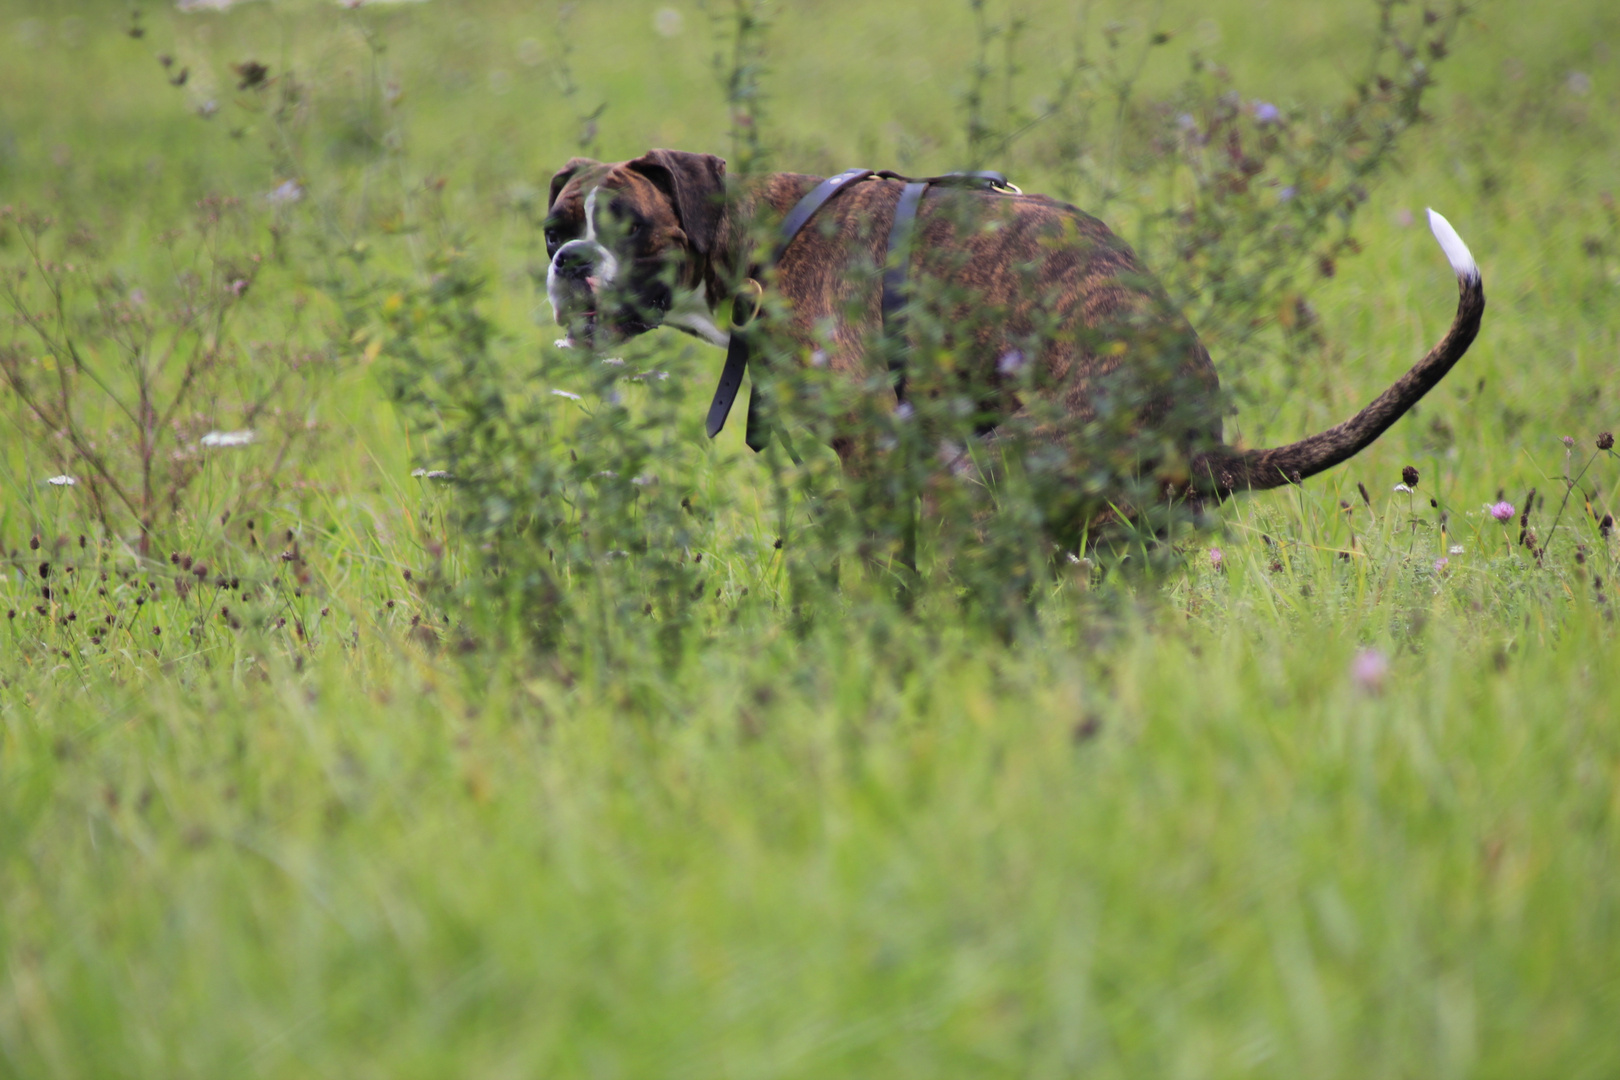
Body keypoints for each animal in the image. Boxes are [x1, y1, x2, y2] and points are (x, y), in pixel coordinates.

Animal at [541, 148, 1483, 537]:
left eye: (628, 227)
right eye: (552, 228)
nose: (570, 263)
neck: (760, 235)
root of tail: (1199, 442)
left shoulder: (877, 450)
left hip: (987, 476)